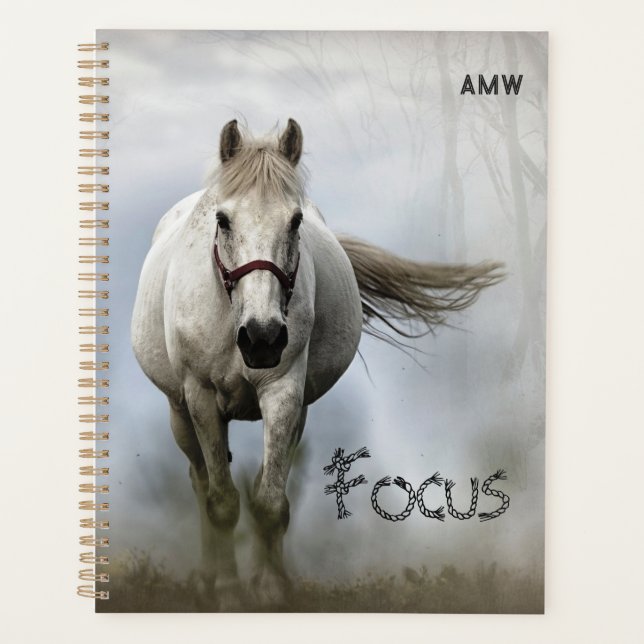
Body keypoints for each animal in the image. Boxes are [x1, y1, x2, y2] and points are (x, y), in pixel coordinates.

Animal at [131, 118, 503, 609]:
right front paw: (228, 593)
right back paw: (208, 578)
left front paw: (270, 589)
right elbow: (221, 502)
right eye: (223, 219)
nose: (263, 338)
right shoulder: (202, 398)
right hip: (180, 412)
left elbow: (270, 502)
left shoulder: (285, 393)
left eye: (295, 220)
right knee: (199, 482)